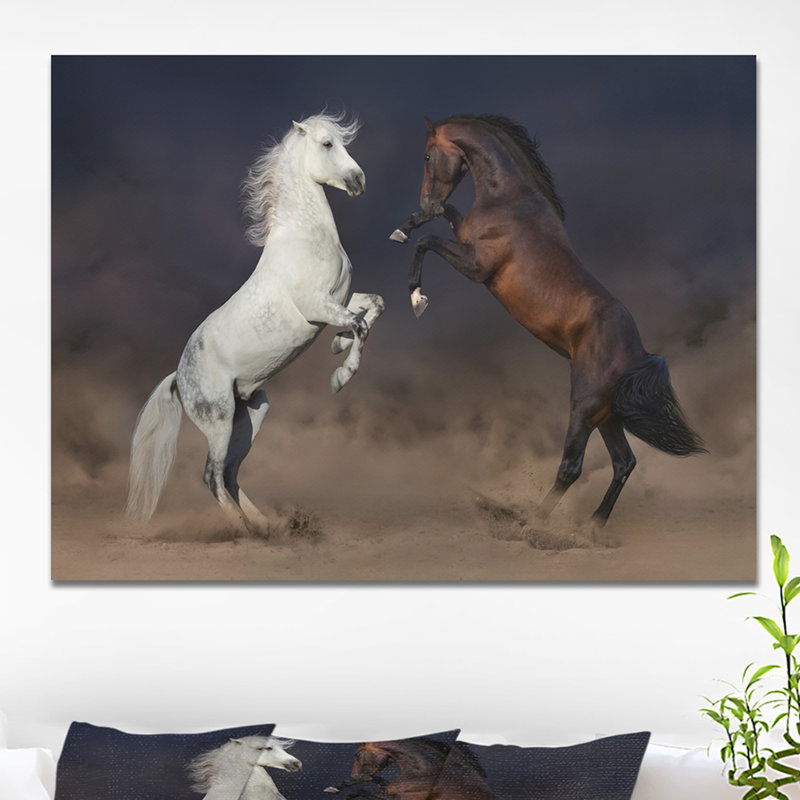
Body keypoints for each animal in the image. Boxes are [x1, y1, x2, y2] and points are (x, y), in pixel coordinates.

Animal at [125, 111, 384, 533]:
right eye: (327, 144)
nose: (358, 182)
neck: (305, 239)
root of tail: (179, 377)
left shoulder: (341, 299)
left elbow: (374, 307)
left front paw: (337, 344)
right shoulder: (318, 306)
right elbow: (360, 327)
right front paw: (340, 376)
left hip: (251, 415)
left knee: (230, 474)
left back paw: (266, 525)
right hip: (218, 420)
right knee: (211, 475)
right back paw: (243, 530)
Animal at [391, 114, 705, 530]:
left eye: (427, 156)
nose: (426, 200)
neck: (509, 200)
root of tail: (638, 354)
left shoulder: (476, 266)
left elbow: (426, 242)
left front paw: (417, 297)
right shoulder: (464, 238)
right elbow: (443, 219)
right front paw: (406, 225)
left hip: (584, 406)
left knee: (571, 467)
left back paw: (534, 525)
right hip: (606, 414)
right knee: (624, 463)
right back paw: (591, 529)